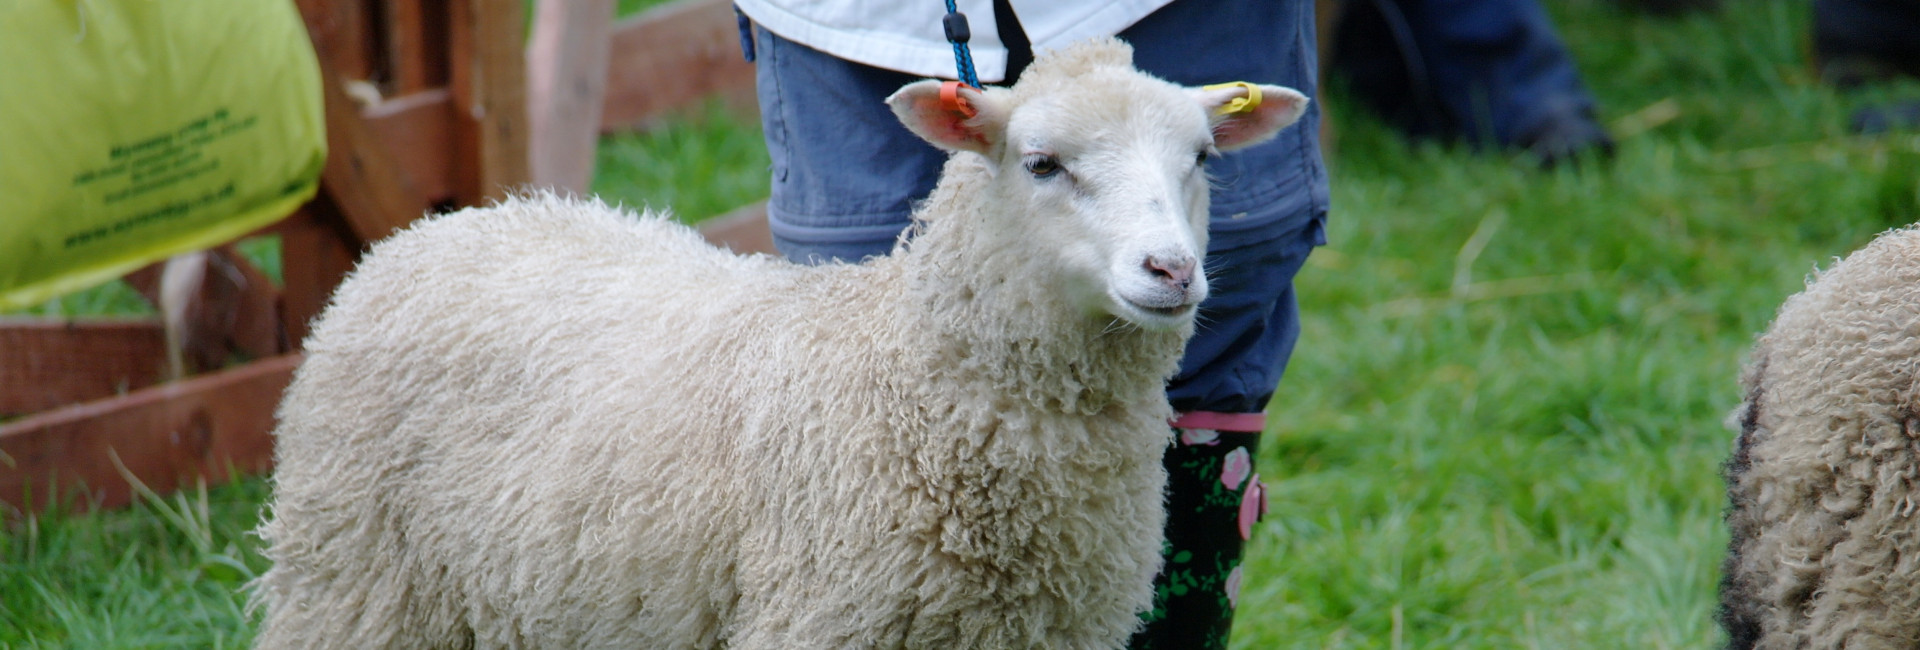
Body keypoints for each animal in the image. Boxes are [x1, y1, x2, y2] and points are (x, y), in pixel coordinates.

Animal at [250, 38, 1309, 650]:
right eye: (1044, 164)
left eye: (1201, 160)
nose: (1172, 272)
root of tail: (446, 226)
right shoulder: (824, 618)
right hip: (353, 579)